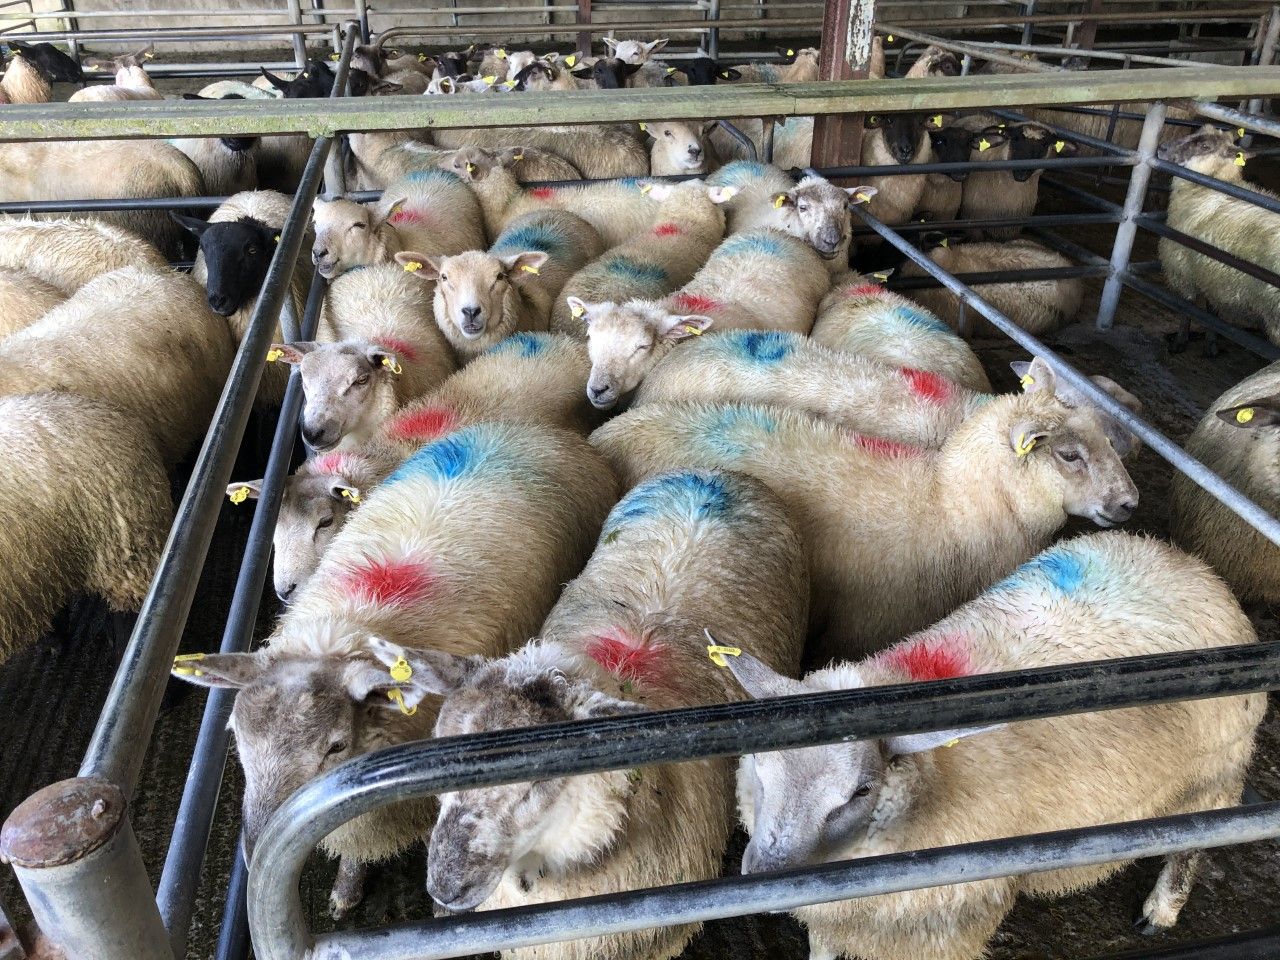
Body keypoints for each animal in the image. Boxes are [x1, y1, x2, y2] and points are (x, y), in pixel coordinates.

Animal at [172, 421, 618, 919]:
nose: (255, 858)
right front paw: (346, 888)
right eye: (235, 736)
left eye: (335, 746)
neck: (348, 628)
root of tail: (533, 428)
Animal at [726, 529, 1264, 960]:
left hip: (1213, 775)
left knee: (1191, 848)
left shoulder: (945, 929)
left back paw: (1161, 910)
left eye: (860, 792)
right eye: (760, 769)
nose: (761, 874)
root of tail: (1190, 565)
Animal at [1158, 126, 1280, 345]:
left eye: (1205, 146)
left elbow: (1187, 307)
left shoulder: (1183, 268)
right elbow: (1211, 311)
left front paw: (1181, 340)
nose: (1162, 148)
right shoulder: (1211, 273)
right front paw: (1211, 343)